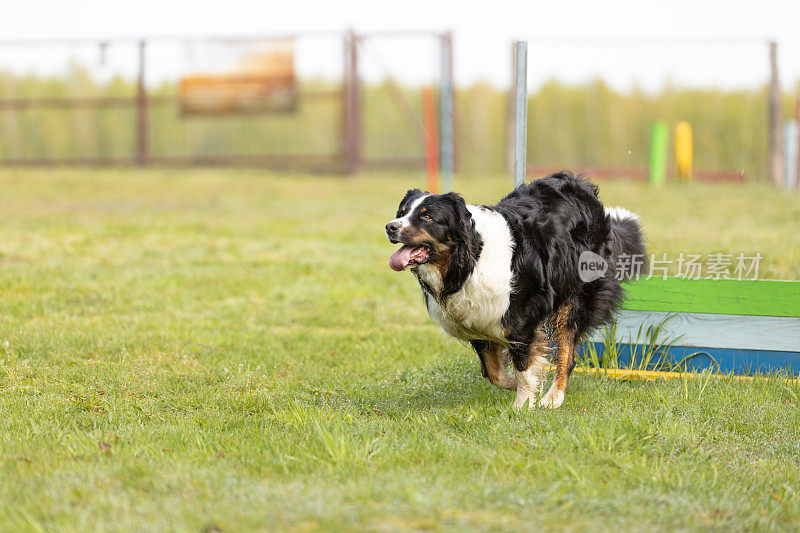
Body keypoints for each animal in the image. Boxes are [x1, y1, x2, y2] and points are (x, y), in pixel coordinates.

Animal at [386, 170, 644, 408]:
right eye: (402, 213)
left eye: (427, 216)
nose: (390, 227)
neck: (470, 259)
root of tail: (581, 185)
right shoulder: (478, 320)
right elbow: (493, 373)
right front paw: (513, 382)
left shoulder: (521, 319)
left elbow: (524, 366)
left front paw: (523, 404)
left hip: (578, 294)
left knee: (567, 350)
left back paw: (553, 397)